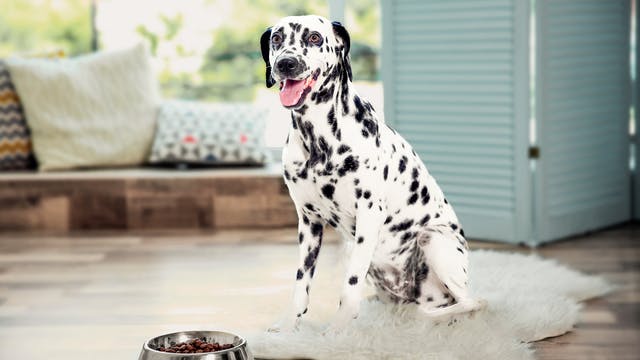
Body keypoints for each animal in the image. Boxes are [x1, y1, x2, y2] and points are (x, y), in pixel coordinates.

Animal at [260, 15, 484, 334]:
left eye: (315, 37)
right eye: (277, 38)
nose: (286, 63)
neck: (318, 141)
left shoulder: (368, 214)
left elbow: (349, 284)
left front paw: (338, 328)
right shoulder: (308, 222)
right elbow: (301, 282)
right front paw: (289, 324)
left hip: (433, 239)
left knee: (470, 303)